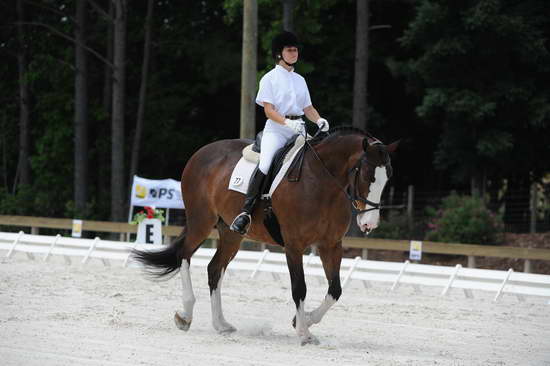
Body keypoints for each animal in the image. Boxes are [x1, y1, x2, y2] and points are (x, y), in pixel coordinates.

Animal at [134, 128, 402, 346]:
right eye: (367, 175)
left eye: (388, 176)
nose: (369, 224)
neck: (322, 183)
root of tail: (202, 152)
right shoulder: (294, 246)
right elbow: (299, 288)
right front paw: (304, 333)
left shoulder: (331, 245)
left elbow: (335, 290)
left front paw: (303, 321)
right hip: (201, 221)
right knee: (185, 256)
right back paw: (186, 316)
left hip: (231, 234)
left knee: (214, 269)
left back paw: (221, 324)